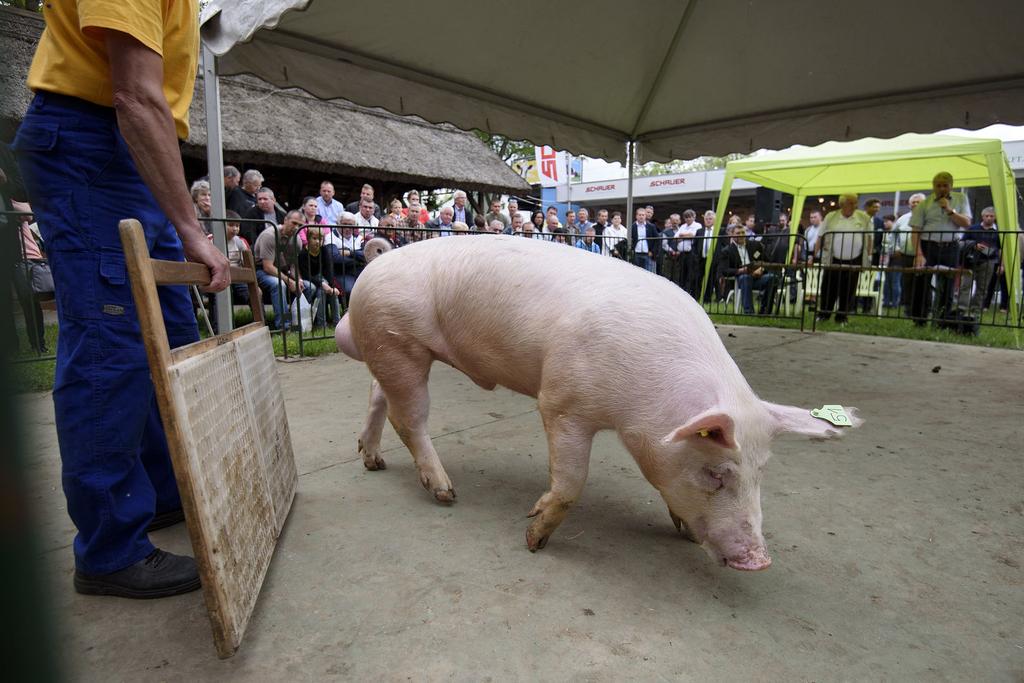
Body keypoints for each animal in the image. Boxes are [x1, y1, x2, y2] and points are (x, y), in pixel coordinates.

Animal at [333, 236, 856, 573]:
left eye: (761, 473)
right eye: (715, 473)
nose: (759, 561)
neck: (647, 401)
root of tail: (376, 263)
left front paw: (684, 533)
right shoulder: (562, 403)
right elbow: (571, 482)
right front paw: (533, 539)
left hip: (391, 349)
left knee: (377, 396)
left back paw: (373, 462)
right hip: (398, 342)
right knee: (408, 418)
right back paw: (446, 493)